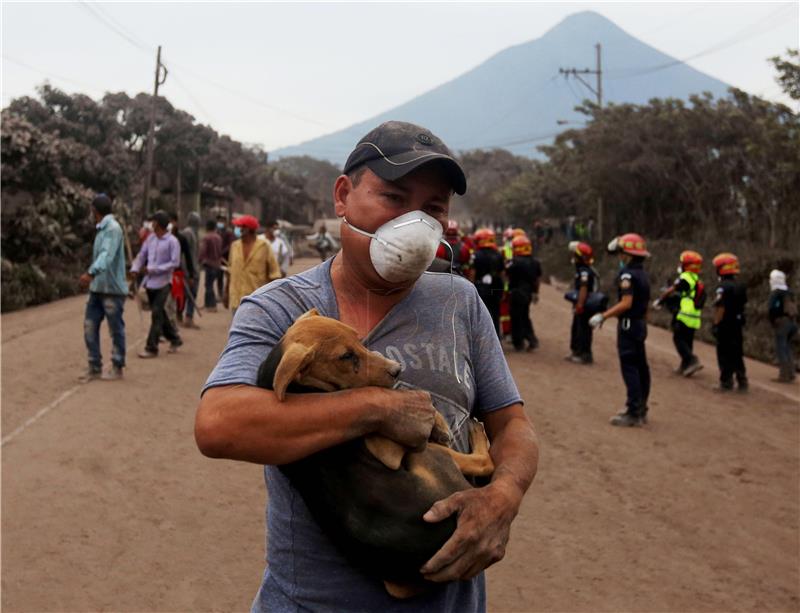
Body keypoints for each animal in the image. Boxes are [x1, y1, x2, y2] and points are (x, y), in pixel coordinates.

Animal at [256, 308, 494, 596]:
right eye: (346, 357)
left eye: (358, 339)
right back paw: (474, 432)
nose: (397, 370)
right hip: (429, 456)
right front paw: (434, 420)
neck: (299, 386)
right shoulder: (387, 451)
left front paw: (436, 422)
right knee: (483, 462)